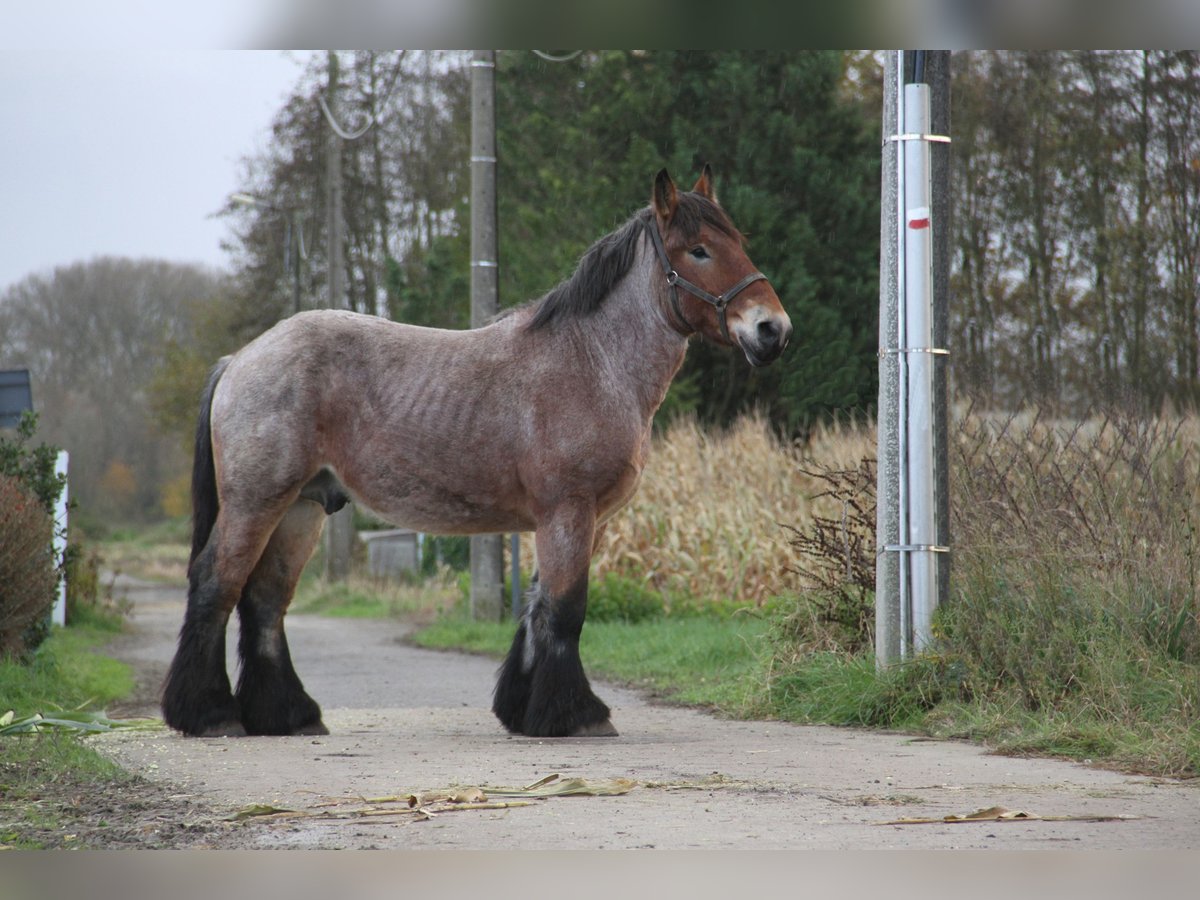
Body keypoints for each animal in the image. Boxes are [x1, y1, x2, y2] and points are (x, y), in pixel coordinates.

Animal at [162, 168, 796, 739]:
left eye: (737, 241)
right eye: (698, 250)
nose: (773, 329)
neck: (592, 362)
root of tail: (240, 359)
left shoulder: (570, 521)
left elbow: (537, 607)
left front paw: (524, 711)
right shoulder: (569, 512)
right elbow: (565, 609)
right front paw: (575, 716)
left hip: (301, 508)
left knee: (265, 601)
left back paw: (289, 716)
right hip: (257, 502)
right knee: (217, 584)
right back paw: (211, 715)